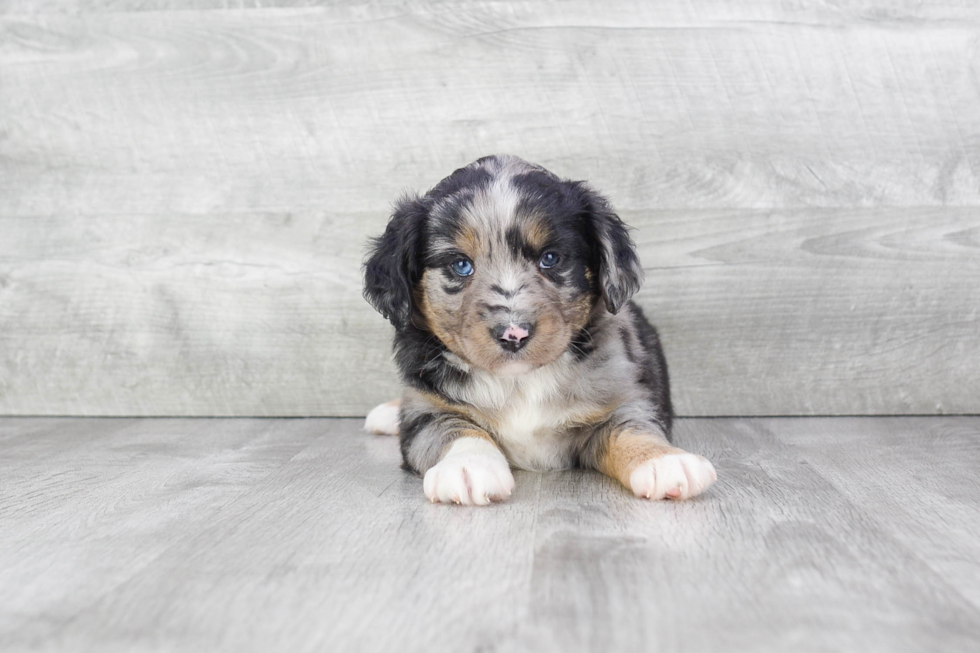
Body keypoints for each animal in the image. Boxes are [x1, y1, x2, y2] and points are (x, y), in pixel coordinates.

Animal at [364, 155, 716, 506]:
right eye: (461, 265)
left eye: (550, 258)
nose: (514, 334)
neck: (520, 383)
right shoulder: (426, 410)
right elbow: (453, 428)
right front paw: (468, 466)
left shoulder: (620, 400)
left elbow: (631, 428)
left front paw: (664, 460)